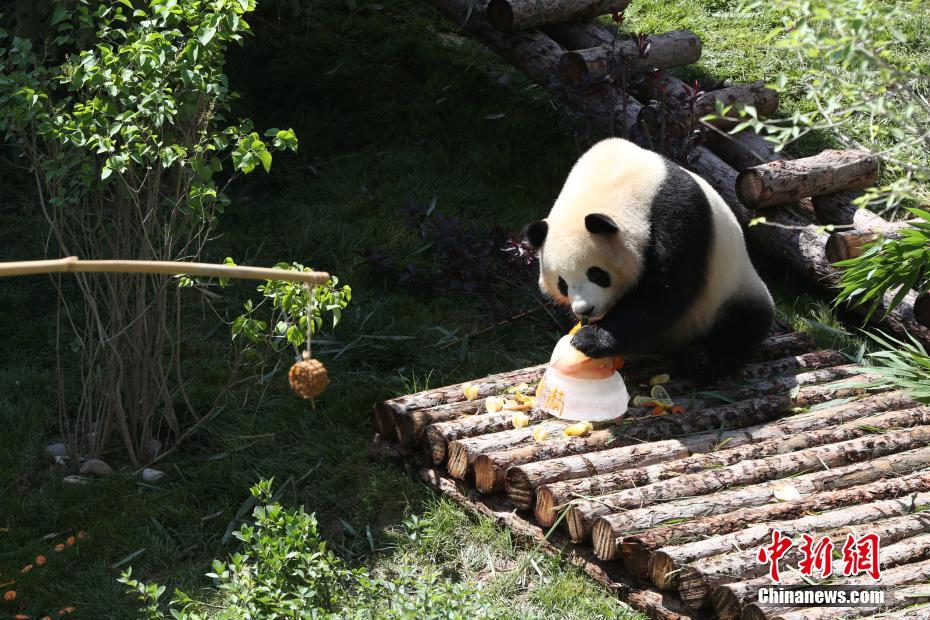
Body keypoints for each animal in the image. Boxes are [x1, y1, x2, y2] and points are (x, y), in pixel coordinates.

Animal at [524, 139, 772, 382]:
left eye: (596, 274)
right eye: (562, 284)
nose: (585, 309)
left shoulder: (678, 217)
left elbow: (665, 293)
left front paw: (589, 339)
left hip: (733, 289)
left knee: (742, 327)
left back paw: (700, 361)